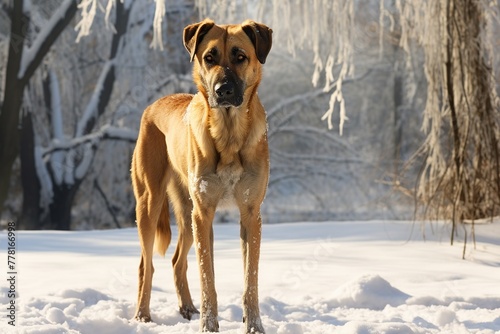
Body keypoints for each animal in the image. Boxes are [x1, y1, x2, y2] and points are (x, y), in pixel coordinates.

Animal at [131, 19, 272, 332]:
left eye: (240, 56)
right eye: (209, 57)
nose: (223, 91)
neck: (229, 135)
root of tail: (153, 105)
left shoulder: (250, 213)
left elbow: (251, 278)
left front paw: (253, 323)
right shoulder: (204, 213)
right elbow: (207, 276)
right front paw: (209, 324)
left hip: (186, 213)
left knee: (176, 261)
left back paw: (186, 307)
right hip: (151, 203)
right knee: (146, 265)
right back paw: (142, 315)